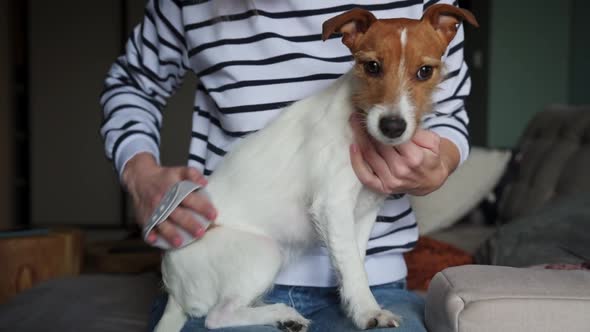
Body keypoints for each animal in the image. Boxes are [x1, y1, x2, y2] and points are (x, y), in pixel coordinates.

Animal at [155, 5, 478, 332]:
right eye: (372, 66)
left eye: (425, 71)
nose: (392, 126)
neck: (358, 116)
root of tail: (174, 290)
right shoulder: (332, 204)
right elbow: (352, 266)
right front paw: (369, 312)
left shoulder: (363, 212)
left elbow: (353, 262)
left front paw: (353, 304)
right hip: (263, 250)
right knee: (217, 316)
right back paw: (283, 313)